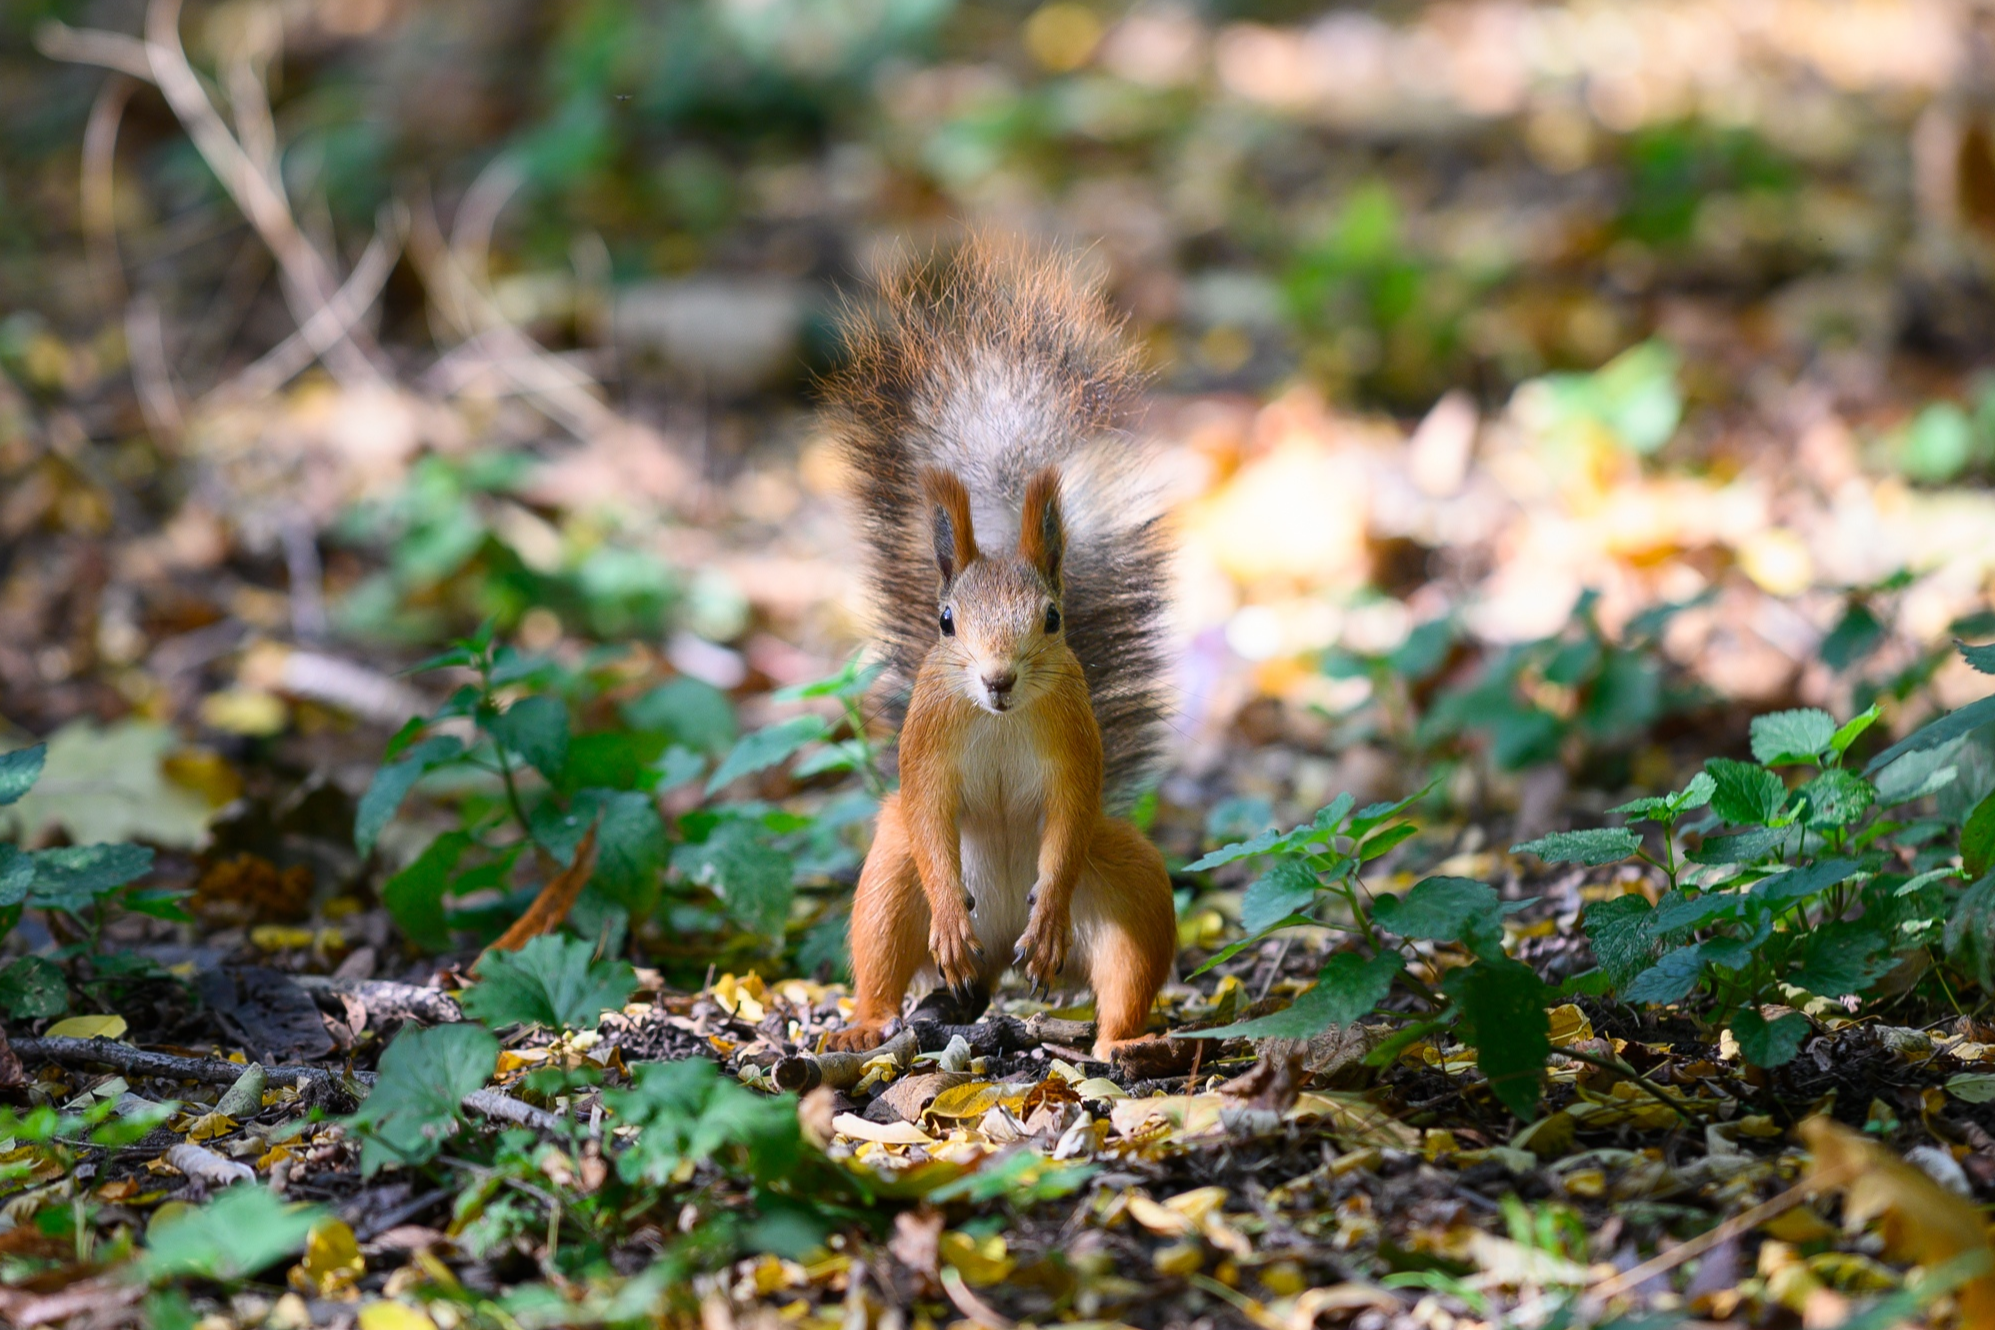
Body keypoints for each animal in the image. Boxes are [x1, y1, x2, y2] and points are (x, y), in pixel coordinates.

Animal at [817, 239, 1173, 1060]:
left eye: (1053, 618)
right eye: (945, 620)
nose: (998, 679)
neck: (1000, 721)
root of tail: (998, 955)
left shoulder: (1073, 745)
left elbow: (1070, 813)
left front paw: (1050, 917)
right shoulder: (926, 744)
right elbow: (925, 809)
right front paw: (949, 920)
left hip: (1130, 884)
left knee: (1126, 966)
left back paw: (1120, 1040)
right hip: (890, 884)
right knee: (886, 938)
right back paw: (870, 1021)